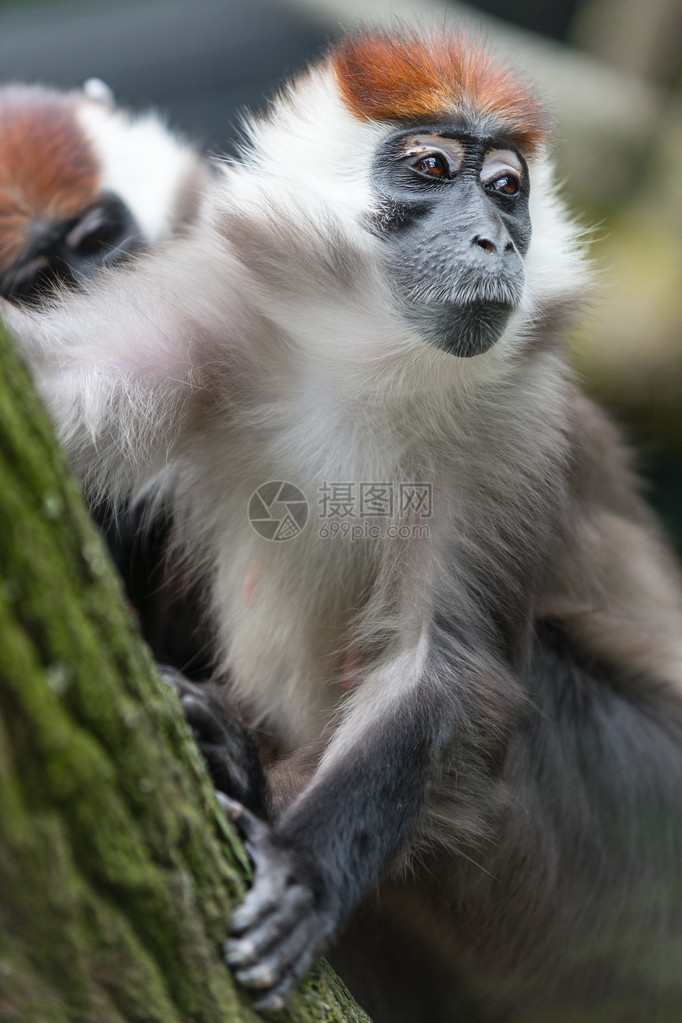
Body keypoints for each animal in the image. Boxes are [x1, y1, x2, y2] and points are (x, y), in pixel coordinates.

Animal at [3, 28, 682, 1018]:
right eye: (430, 168)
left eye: (505, 187)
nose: (493, 238)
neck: (372, 356)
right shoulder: (213, 305)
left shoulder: (515, 423)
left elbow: (440, 665)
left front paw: (306, 873)